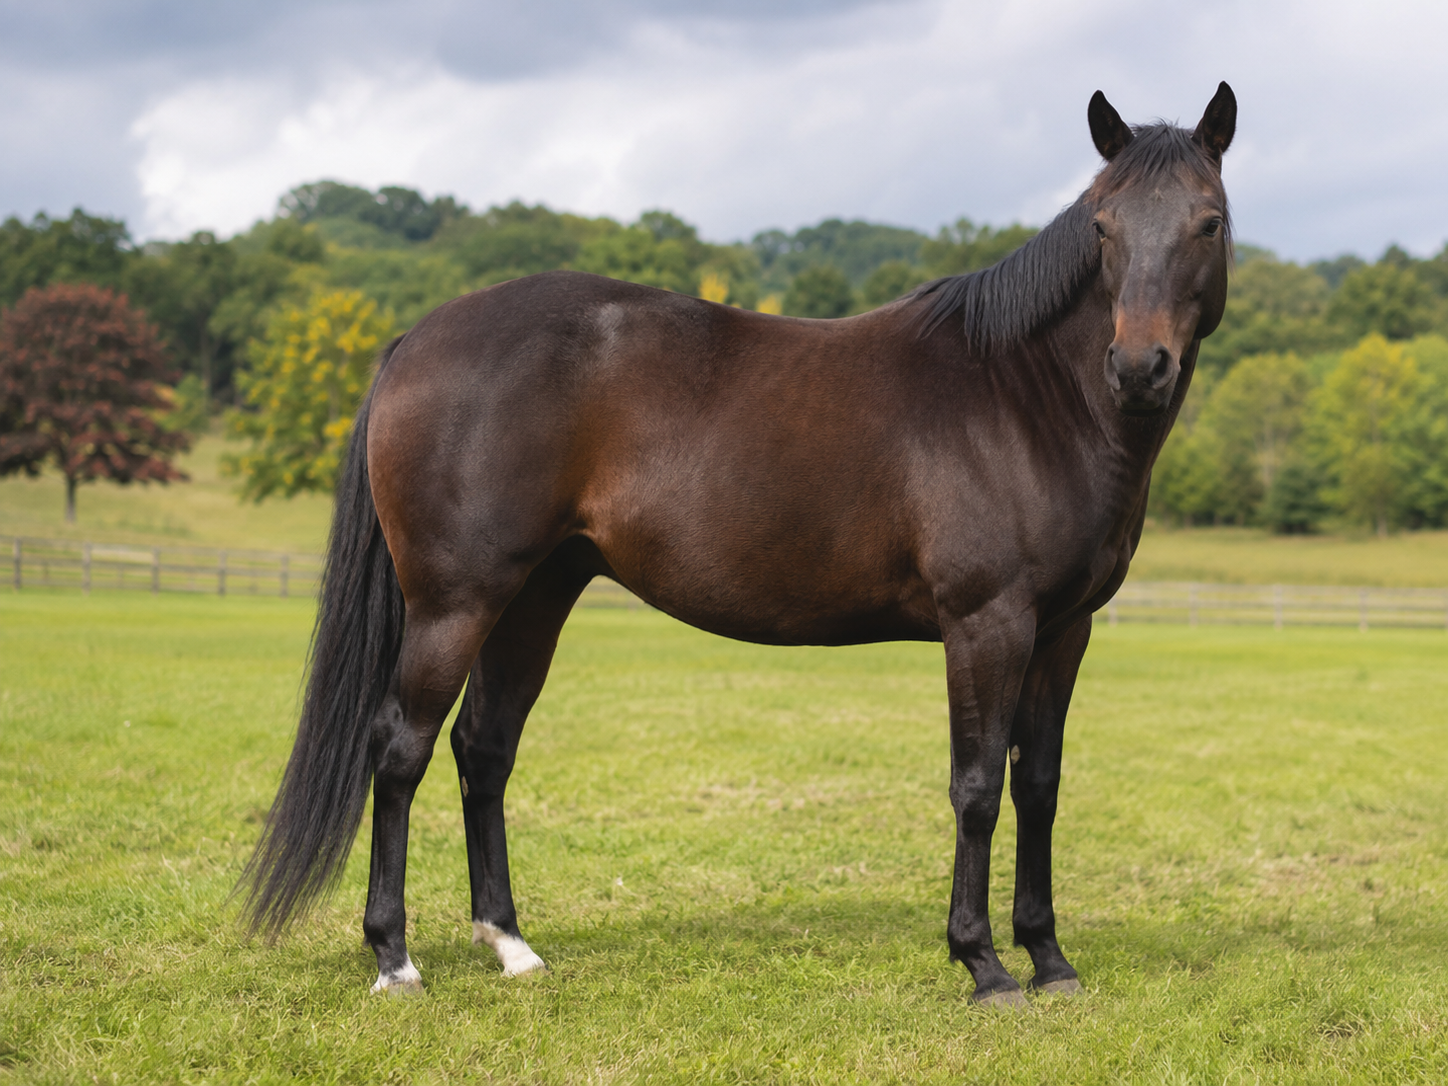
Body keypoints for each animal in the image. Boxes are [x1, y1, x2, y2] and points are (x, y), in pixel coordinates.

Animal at [239, 83, 1236, 1006]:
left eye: (1208, 221)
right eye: (1103, 226)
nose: (1138, 368)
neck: (1023, 397)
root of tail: (416, 338)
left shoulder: (1064, 631)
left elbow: (1040, 786)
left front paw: (1051, 961)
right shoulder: (986, 625)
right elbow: (979, 786)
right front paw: (984, 965)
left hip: (532, 598)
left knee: (484, 750)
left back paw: (513, 947)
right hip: (455, 603)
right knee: (399, 750)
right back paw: (395, 960)